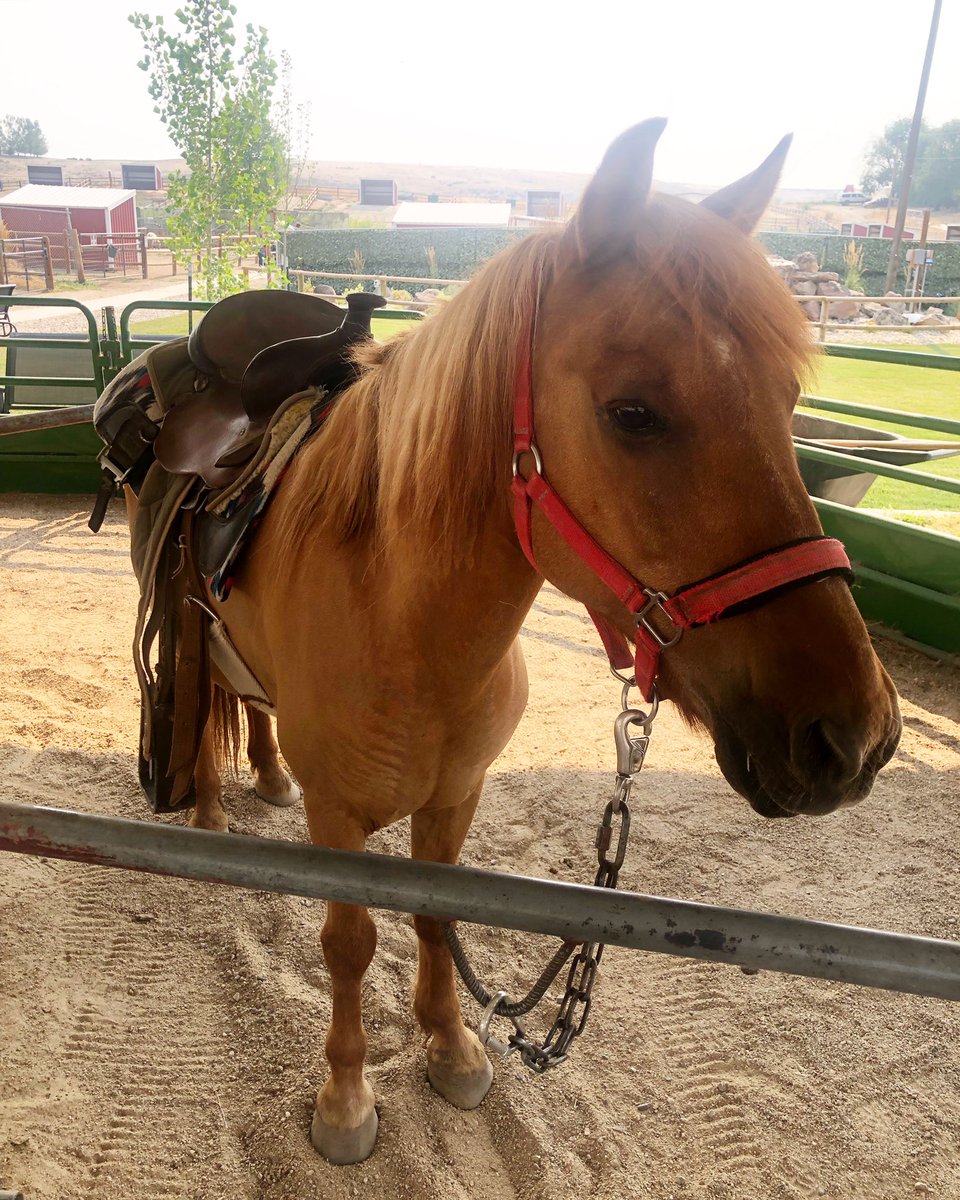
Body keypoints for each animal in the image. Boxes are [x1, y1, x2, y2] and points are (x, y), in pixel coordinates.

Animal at [131, 119, 901, 1164]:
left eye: (786, 403)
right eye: (632, 413)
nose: (854, 737)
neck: (407, 627)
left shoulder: (457, 794)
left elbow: (437, 916)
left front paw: (452, 1050)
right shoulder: (340, 823)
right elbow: (349, 946)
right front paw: (345, 1099)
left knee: (248, 702)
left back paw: (265, 775)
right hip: (190, 627)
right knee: (205, 698)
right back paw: (211, 810)